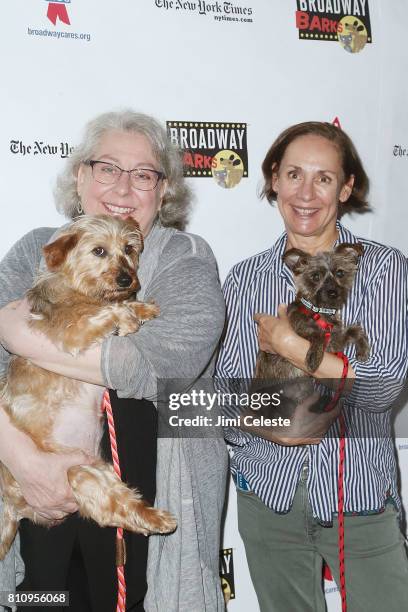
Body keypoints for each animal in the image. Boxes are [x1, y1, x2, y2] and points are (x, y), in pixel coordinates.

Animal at [0, 214, 176, 560]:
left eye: (129, 248)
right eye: (99, 251)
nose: (126, 279)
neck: (80, 290)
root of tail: (15, 509)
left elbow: (123, 307)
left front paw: (143, 308)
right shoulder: (74, 331)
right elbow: (108, 312)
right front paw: (128, 317)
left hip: (96, 470)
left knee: (118, 506)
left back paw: (155, 517)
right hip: (75, 474)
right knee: (112, 509)